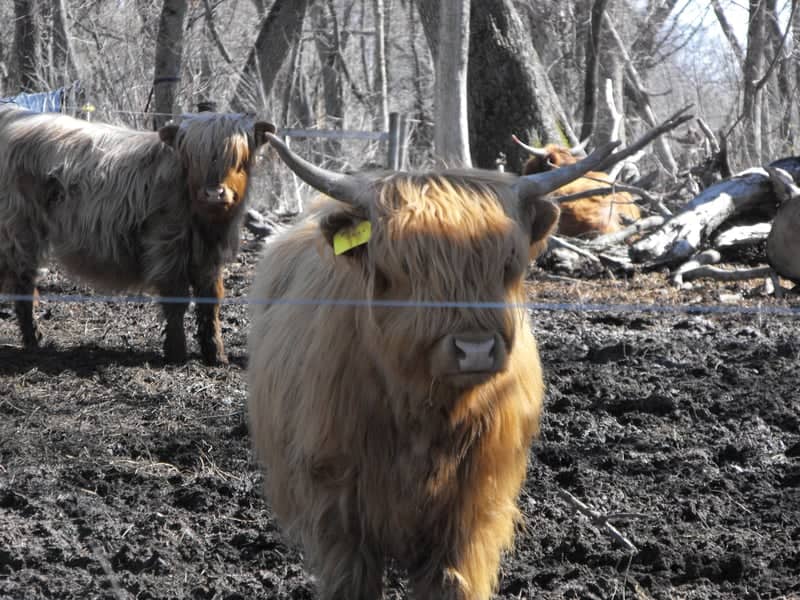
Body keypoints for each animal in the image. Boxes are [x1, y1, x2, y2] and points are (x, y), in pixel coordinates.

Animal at [0, 105, 274, 364]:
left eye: (238, 159)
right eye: (194, 160)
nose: (214, 193)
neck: (205, 222)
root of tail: (13, 113)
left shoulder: (209, 256)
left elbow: (211, 301)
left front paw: (216, 355)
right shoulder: (167, 246)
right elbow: (176, 298)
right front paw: (176, 353)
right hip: (19, 231)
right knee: (23, 283)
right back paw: (33, 341)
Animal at [247, 133, 620, 599]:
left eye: (507, 264)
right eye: (406, 266)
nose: (475, 349)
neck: (423, 415)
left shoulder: (473, 506)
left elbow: (451, 581)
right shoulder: (336, 503)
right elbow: (352, 579)